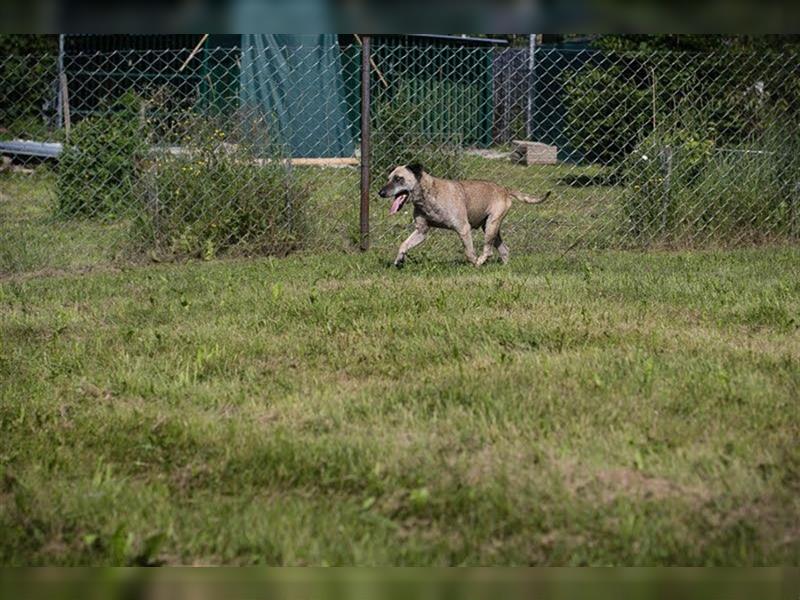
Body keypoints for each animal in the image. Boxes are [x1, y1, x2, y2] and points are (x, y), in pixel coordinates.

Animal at [380, 164, 552, 268]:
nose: (380, 193)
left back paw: (482, 261)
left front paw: (475, 264)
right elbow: (404, 244)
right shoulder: (421, 231)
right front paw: (399, 260)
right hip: (490, 228)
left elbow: (469, 253)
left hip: (491, 225)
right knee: (504, 250)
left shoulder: (463, 229)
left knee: (488, 251)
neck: (428, 194)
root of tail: (504, 189)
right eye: (388, 178)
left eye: (399, 179)